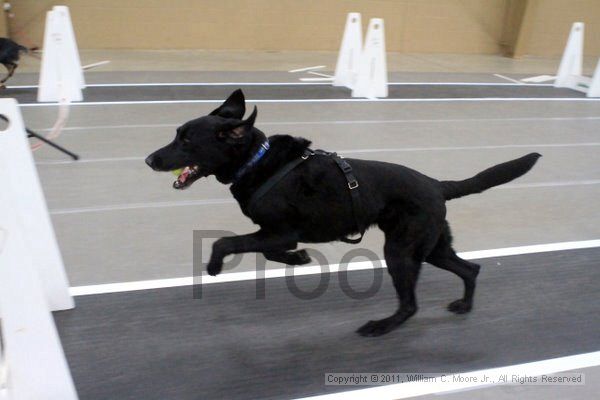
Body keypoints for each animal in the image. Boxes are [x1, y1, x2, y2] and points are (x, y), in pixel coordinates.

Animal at [146, 89, 544, 336]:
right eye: (176, 134)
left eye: (186, 140)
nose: (149, 160)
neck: (255, 161)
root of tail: (437, 184)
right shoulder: (278, 234)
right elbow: (270, 251)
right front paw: (299, 258)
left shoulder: (280, 230)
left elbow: (227, 243)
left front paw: (214, 266)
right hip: (431, 246)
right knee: (470, 268)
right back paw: (464, 305)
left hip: (401, 251)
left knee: (411, 304)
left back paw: (381, 326)